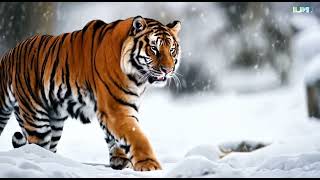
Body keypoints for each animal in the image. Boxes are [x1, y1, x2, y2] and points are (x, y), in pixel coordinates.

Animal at [0, 15, 180, 172]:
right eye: (154, 48)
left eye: (172, 50)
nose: (168, 70)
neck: (137, 77)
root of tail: (9, 54)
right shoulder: (116, 108)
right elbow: (136, 136)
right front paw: (149, 165)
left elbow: (116, 137)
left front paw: (120, 160)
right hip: (36, 119)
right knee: (37, 147)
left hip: (54, 120)